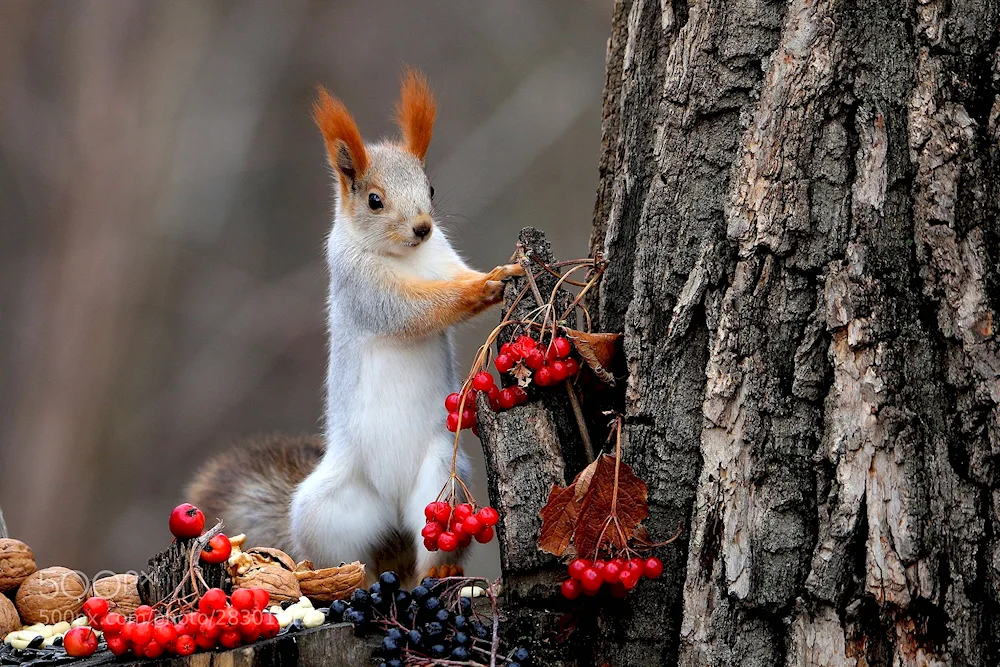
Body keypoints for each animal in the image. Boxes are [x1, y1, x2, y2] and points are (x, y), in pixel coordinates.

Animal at [190, 70, 528, 588]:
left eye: (431, 188)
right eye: (374, 200)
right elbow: (413, 310)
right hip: (327, 512)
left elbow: (453, 278)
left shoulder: (444, 259)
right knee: (346, 559)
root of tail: (393, 519)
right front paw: (484, 287)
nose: (423, 227)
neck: (407, 257)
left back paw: (438, 570)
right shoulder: (362, 288)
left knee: (428, 549)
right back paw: (342, 579)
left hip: (442, 484)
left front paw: (495, 276)